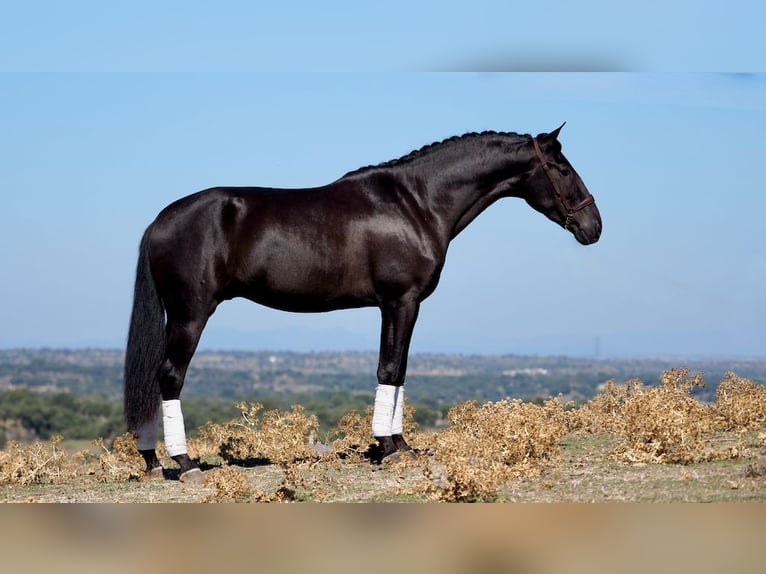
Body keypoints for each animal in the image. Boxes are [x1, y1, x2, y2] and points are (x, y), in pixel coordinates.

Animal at [123, 125, 604, 482]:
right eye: (561, 168)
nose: (593, 226)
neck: (416, 202)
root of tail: (160, 221)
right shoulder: (400, 301)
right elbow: (389, 369)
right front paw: (388, 448)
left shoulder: (401, 305)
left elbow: (400, 370)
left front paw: (401, 445)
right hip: (190, 314)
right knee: (170, 377)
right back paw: (184, 464)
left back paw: (151, 459)